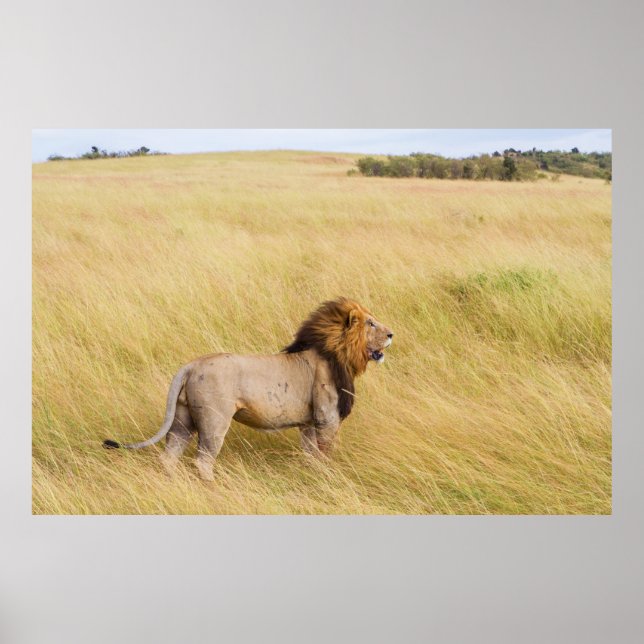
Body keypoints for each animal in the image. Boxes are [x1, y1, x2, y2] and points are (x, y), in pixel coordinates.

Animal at [103, 297, 393, 480]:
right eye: (371, 323)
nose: (391, 334)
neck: (338, 353)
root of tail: (191, 365)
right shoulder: (326, 418)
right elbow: (325, 453)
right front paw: (329, 476)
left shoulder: (309, 423)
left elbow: (311, 455)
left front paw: (313, 475)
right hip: (214, 421)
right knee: (203, 461)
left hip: (183, 420)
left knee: (169, 457)